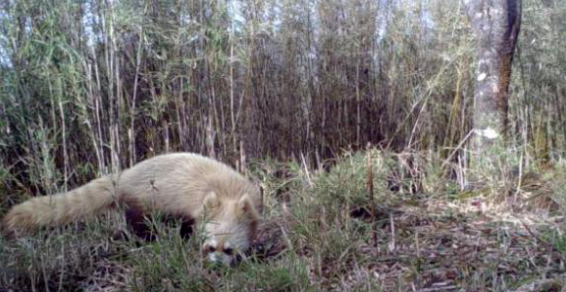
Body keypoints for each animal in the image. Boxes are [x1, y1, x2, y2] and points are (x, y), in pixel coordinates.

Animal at [1, 154, 264, 266]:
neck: (227, 192)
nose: (216, 264)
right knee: (138, 228)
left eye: (229, 249)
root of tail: (124, 176)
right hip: (142, 207)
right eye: (210, 246)